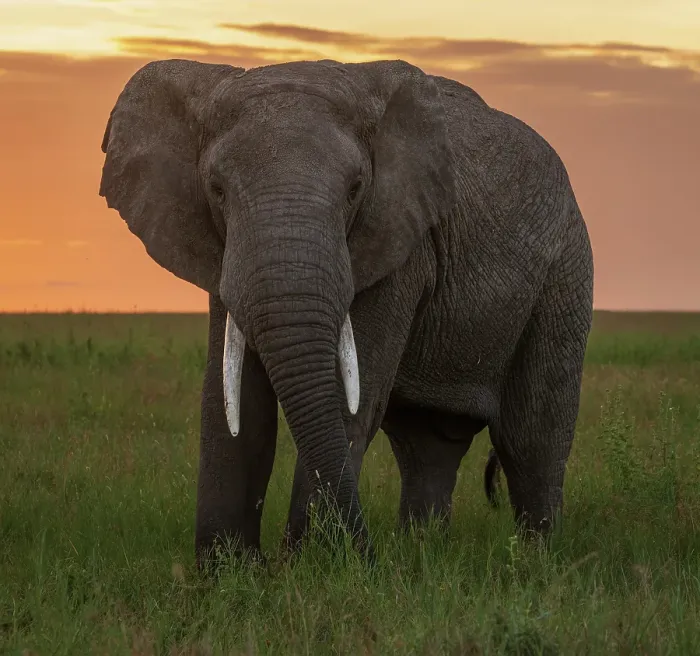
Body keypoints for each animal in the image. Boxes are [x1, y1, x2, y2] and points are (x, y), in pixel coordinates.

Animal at [99, 57, 594, 566]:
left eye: (356, 189)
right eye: (216, 190)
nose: (368, 555)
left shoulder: (402, 243)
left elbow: (347, 398)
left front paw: (313, 569)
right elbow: (234, 406)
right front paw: (228, 574)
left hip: (566, 271)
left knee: (530, 436)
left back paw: (534, 560)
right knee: (428, 444)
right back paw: (421, 553)